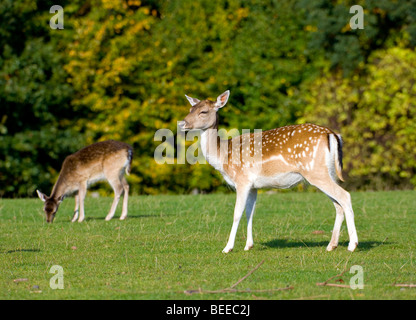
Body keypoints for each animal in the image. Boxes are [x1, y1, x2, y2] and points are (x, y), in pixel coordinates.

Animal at [178, 90, 358, 252]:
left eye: (203, 111)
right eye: (190, 109)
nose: (182, 123)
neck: (224, 157)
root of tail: (333, 134)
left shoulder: (242, 180)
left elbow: (237, 213)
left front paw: (228, 248)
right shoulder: (254, 186)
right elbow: (249, 212)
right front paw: (248, 245)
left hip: (315, 172)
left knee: (345, 196)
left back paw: (352, 245)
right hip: (328, 172)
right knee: (338, 204)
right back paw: (331, 245)